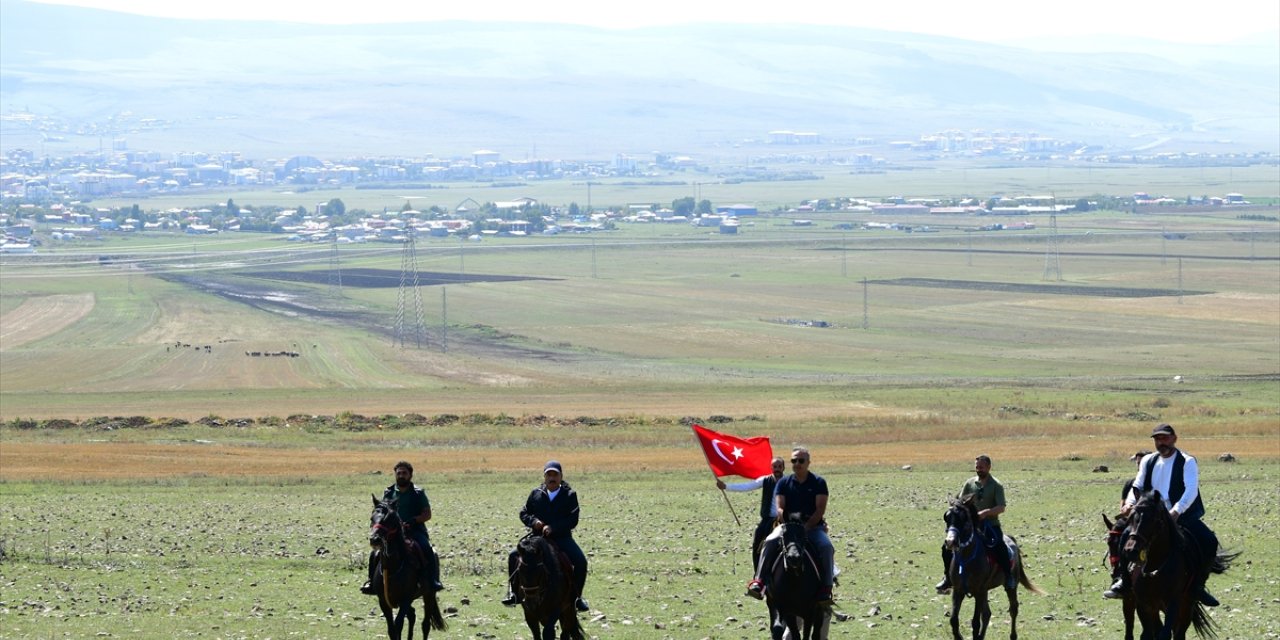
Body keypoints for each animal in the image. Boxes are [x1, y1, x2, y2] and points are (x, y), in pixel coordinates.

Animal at [368, 494, 448, 640]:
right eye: (372, 518)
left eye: (391, 519)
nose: (375, 539)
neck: (392, 567)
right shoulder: (383, 602)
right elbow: (392, 630)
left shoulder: (405, 599)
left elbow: (398, 625)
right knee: (412, 615)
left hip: (428, 594)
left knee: (425, 625)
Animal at [942, 494, 1039, 640]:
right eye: (947, 517)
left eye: (963, 518)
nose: (950, 542)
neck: (967, 560)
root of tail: (1011, 540)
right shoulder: (958, 591)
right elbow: (953, 620)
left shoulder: (978, 591)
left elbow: (975, 622)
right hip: (985, 590)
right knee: (987, 614)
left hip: (1010, 586)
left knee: (1013, 609)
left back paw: (1013, 635)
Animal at [1121, 488, 1239, 640]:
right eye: (1131, 517)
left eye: (1153, 519)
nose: (1131, 551)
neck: (1155, 567)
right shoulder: (1144, 604)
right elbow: (1147, 634)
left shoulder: (1173, 602)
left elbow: (1165, 634)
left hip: (1186, 604)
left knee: (1179, 632)